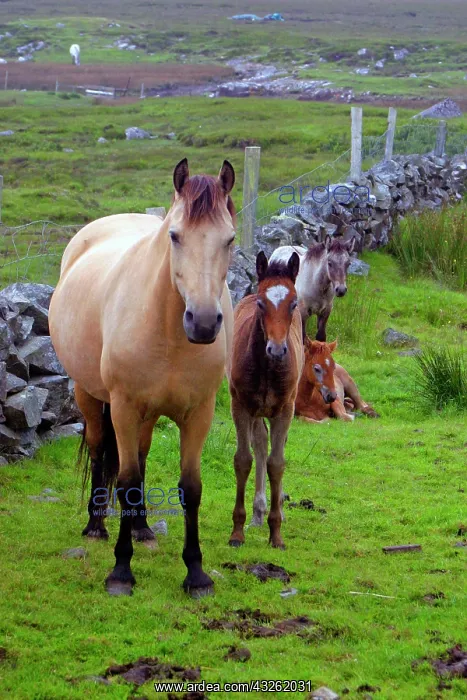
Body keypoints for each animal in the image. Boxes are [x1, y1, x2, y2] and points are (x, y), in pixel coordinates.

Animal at [49, 158, 236, 598]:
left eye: (229, 239)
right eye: (175, 236)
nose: (204, 323)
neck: (167, 328)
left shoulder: (199, 414)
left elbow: (190, 488)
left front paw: (196, 574)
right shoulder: (123, 407)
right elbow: (127, 481)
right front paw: (121, 571)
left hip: (148, 415)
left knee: (143, 454)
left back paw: (142, 527)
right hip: (90, 397)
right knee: (100, 450)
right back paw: (96, 526)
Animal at [227, 251, 304, 548]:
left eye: (293, 303)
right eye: (262, 303)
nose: (277, 349)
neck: (267, 368)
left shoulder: (285, 409)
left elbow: (277, 464)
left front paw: (277, 533)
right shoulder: (240, 406)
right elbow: (243, 460)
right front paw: (237, 531)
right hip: (256, 410)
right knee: (259, 444)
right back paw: (257, 513)